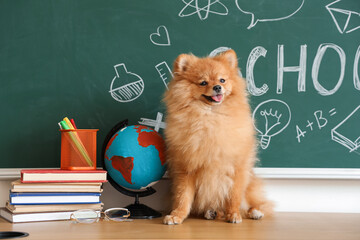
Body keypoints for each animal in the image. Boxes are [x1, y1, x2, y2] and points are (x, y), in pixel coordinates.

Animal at [163, 49, 272, 225]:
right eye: (203, 82)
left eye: (222, 79)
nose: (217, 87)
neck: (211, 118)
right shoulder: (185, 169)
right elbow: (182, 196)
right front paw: (177, 215)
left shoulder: (237, 167)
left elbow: (234, 195)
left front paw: (234, 214)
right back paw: (212, 212)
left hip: (250, 184)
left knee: (252, 202)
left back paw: (254, 212)